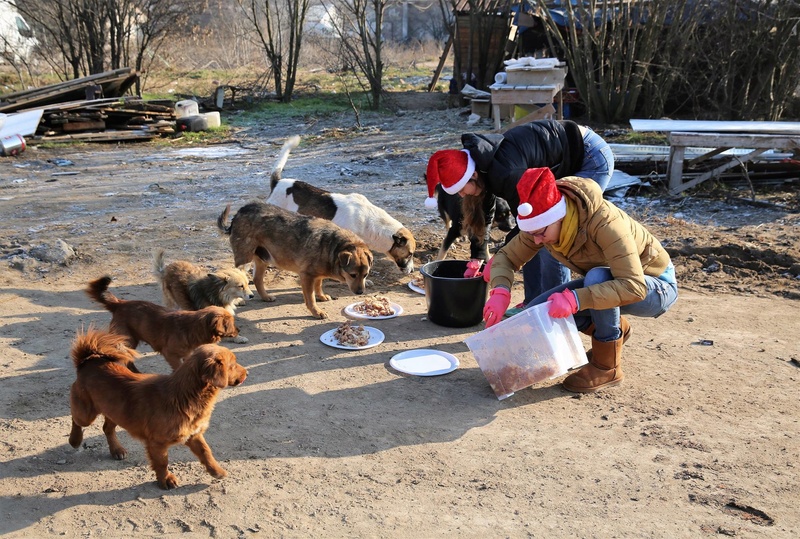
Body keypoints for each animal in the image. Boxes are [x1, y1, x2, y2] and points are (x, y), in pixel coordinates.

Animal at [69, 330, 247, 490]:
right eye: (232, 365)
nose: (247, 372)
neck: (185, 395)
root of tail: (88, 361)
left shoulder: (193, 434)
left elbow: (206, 452)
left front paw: (216, 470)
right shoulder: (157, 443)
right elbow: (162, 463)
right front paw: (165, 480)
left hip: (115, 411)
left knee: (107, 428)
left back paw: (116, 450)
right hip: (87, 414)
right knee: (76, 418)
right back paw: (75, 440)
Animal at [87, 278, 239, 372]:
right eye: (231, 323)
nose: (238, 330)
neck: (192, 327)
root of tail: (119, 303)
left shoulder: (186, 354)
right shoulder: (170, 355)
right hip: (126, 340)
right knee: (125, 357)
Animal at [216, 202, 372, 320]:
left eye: (365, 275)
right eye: (352, 275)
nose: (360, 293)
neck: (334, 246)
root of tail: (238, 213)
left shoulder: (317, 275)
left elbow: (319, 285)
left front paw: (321, 296)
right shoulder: (306, 276)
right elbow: (310, 298)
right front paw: (316, 312)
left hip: (262, 259)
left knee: (257, 279)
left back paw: (265, 297)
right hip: (245, 258)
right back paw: (240, 299)